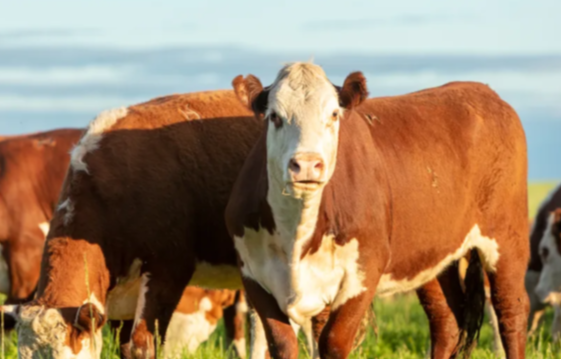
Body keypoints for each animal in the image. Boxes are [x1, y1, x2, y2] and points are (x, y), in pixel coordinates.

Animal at [225, 62, 528, 359]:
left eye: (333, 114)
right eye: (274, 116)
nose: (308, 164)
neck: (297, 235)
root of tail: (483, 91)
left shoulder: (363, 271)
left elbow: (333, 343)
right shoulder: (254, 274)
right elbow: (282, 345)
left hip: (507, 239)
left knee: (511, 311)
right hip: (430, 254)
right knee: (446, 319)